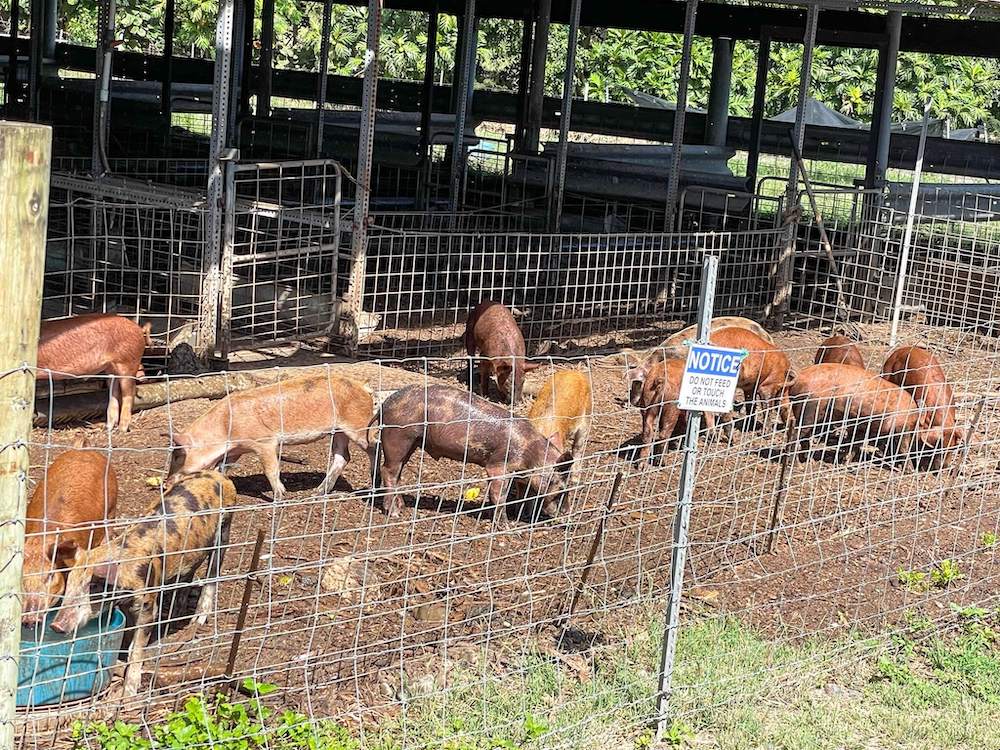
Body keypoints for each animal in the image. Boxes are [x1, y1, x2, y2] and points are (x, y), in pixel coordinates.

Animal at [51, 472, 237, 696]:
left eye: (94, 586)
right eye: (70, 584)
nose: (55, 625)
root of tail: (219, 475)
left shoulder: (148, 604)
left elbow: (137, 648)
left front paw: (129, 693)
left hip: (224, 529)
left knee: (213, 573)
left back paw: (197, 620)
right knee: (187, 575)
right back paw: (175, 618)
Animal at [168, 374, 376, 502]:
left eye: (177, 456)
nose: (166, 482)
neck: (225, 428)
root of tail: (363, 386)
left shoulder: (265, 443)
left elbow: (271, 470)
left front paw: (279, 497)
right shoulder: (236, 450)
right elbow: (222, 468)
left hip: (357, 424)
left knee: (373, 445)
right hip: (338, 431)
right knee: (343, 456)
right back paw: (317, 493)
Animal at [374, 388, 572, 528]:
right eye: (561, 488)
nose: (567, 514)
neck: (531, 455)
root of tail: (384, 406)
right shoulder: (498, 465)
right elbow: (499, 495)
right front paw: (507, 527)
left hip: (411, 442)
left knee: (398, 473)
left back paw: (402, 507)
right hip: (399, 437)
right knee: (388, 470)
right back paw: (394, 513)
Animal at [788, 366, 936, 470]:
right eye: (922, 442)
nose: (922, 468)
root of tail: (799, 377)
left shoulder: (864, 427)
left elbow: (855, 443)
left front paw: (845, 463)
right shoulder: (901, 429)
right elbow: (903, 448)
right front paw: (909, 471)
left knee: (805, 437)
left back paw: (811, 462)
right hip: (811, 408)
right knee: (795, 436)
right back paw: (797, 466)